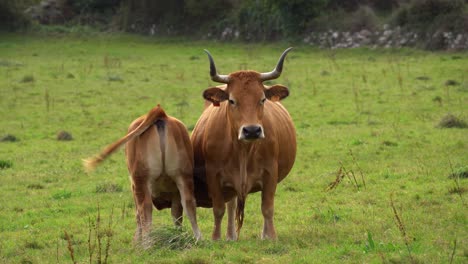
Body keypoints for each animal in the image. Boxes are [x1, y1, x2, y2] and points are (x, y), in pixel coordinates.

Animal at [190, 47, 296, 239]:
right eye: (232, 100)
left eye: (262, 99)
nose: (252, 130)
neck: (243, 150)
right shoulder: (213, 175)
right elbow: (218, 209)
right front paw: (216, 238)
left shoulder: (271, 173)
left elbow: (267, 208)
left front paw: (271, 237)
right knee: (231, 205)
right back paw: (231, 236)